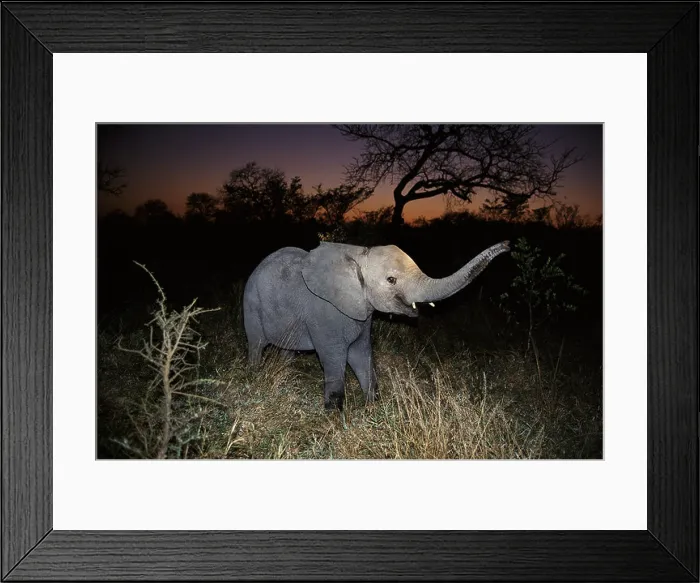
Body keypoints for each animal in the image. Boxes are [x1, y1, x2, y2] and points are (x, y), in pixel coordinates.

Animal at [243, 240, 510, 410]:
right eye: (391, 280)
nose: (508, 245)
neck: (358, 255)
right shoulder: (323, 313)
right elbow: (334, 357)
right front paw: (335, 416)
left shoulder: (362, 314)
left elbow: (361, 354)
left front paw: (373, 406)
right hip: (252, 305)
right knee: (256, 344)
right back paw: (255, 375)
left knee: (286, 349)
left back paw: (285, 373)